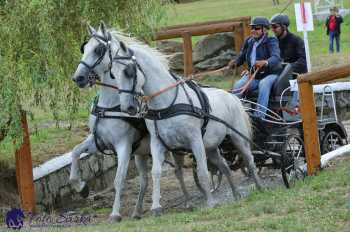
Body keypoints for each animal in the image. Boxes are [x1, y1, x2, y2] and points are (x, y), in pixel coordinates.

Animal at [70, 22, 193, 222]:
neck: (110, 105)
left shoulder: (123, 146)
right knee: (144, 180)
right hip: (141, 154)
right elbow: (75, 152)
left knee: (178, 172)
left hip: (172, 147)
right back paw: (137, 211)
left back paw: (188, 201)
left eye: (98, 49)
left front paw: (115, 214)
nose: (78, 78)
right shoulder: (99, 141)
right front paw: (81, 187)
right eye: (84, 48)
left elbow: (119, 180)